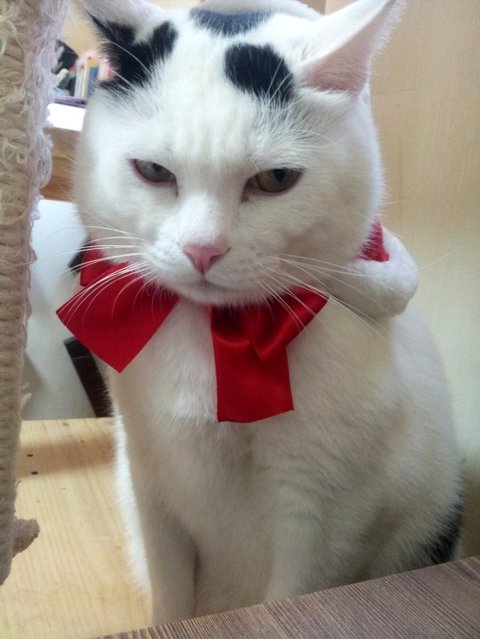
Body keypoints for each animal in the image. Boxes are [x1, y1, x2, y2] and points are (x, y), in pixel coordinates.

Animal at [63, 0, 462, 623]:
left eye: (275, 179)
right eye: (153, 171)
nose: (202, 249)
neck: (221, 340)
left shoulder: (322, 516)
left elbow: (296, 595)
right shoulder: (149, 479)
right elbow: (169, 596)